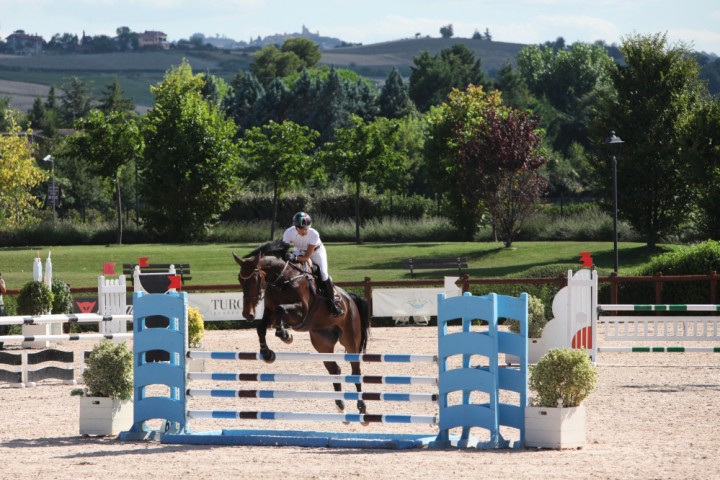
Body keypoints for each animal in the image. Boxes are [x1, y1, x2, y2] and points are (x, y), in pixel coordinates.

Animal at [233, 242, 372, 414]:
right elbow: (261, 327)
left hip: (350, 339)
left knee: (355, 370)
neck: (282, 280)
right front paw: (267, 353)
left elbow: (280, 309)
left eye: (255, 279)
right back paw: (340, 405)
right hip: (322, 343)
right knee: (335, 369)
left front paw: (285, 335)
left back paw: (361, 406)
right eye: (240, 279)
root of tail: (350, 298)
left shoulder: (300, 311)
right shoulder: (270, 312)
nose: (248, 314)